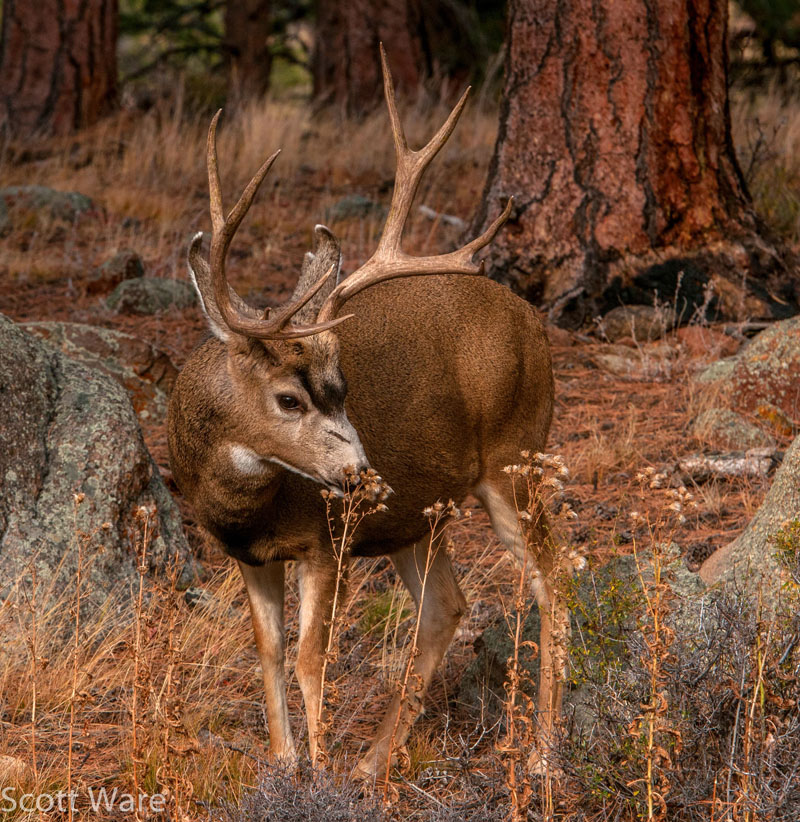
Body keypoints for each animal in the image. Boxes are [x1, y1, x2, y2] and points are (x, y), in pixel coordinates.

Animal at [167, 47, 563, 780]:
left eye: (343, 387)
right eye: (289, 398)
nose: (359, 474)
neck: (243, 503)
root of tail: (530, 318)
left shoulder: (328, 542)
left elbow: (308, 659)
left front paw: (317, 772)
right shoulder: (247, 556)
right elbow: (267, 653)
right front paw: (285, 764)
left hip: (515, 457)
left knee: (552, 576)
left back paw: (544, 752)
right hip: (419, 512)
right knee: (446, 607)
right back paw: (373, 763)